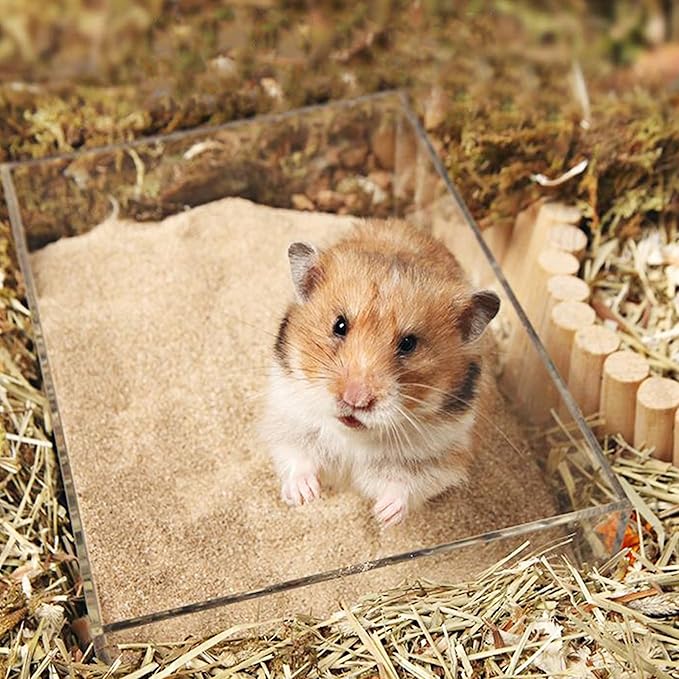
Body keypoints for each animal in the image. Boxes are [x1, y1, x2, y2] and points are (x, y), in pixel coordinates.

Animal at [260, 218, 500, 527]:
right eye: (339, 325)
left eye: (409, 344)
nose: (355, 400)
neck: (352, 435)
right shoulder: (289, 419)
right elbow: (297, 457)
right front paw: (305, 497)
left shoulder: (440, 456)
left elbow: (406, 486)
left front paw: (383, 516)